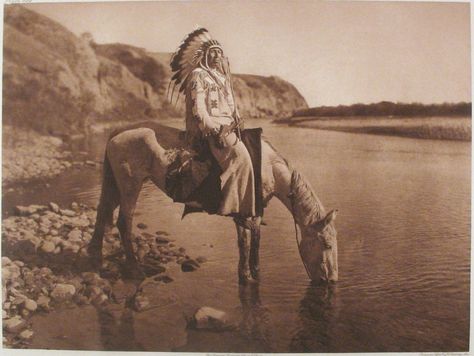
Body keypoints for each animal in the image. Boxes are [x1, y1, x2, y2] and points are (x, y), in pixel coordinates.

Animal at [85, 121, 336, 286]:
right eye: (326, 244)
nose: (331, 280)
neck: (267, 167)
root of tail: (119, 131)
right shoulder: (249, 213)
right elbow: (251, 243)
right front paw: (252, 276)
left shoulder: (248, 212)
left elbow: (246, 243)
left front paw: (247, 275)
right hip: (131, 185)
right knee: (123, 222)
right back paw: (134, 269)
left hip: (114, 184)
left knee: (102, 212)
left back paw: (95, 258)